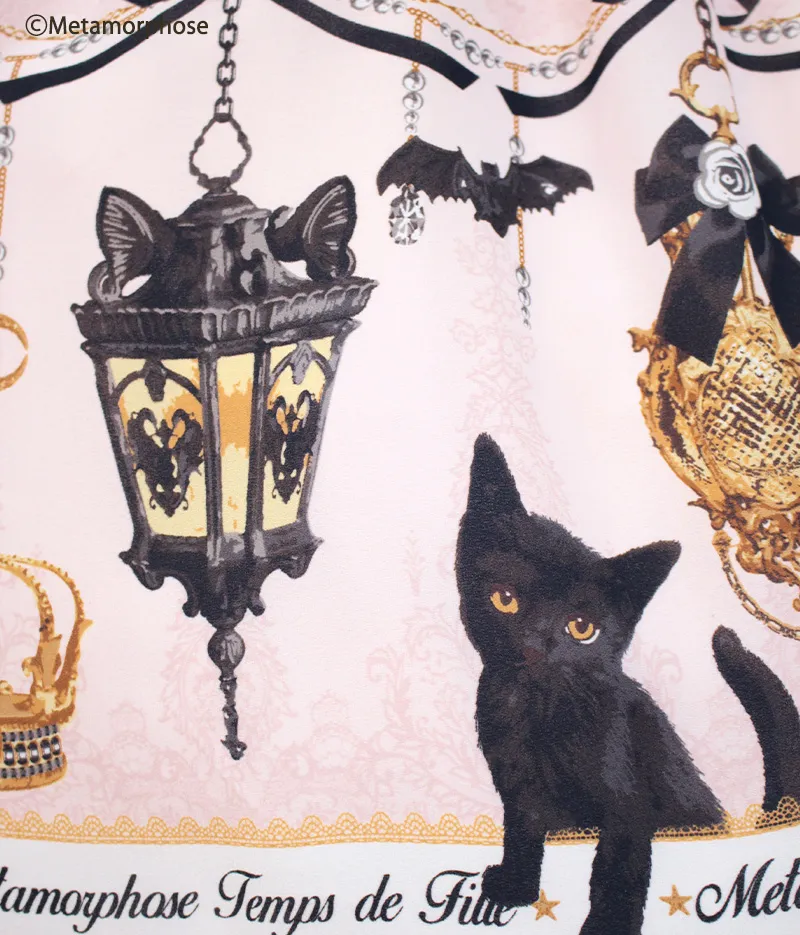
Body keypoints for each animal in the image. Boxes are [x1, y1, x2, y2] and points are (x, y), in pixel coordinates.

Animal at [455, 433, 800, 935]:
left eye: (581, 628)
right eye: (505, 599)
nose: (536, 644)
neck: (538, 715)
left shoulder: (628, 799)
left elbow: (618, 868)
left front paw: (608, 924)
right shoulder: (518, 790)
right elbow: (522, 833)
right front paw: (516, 887)